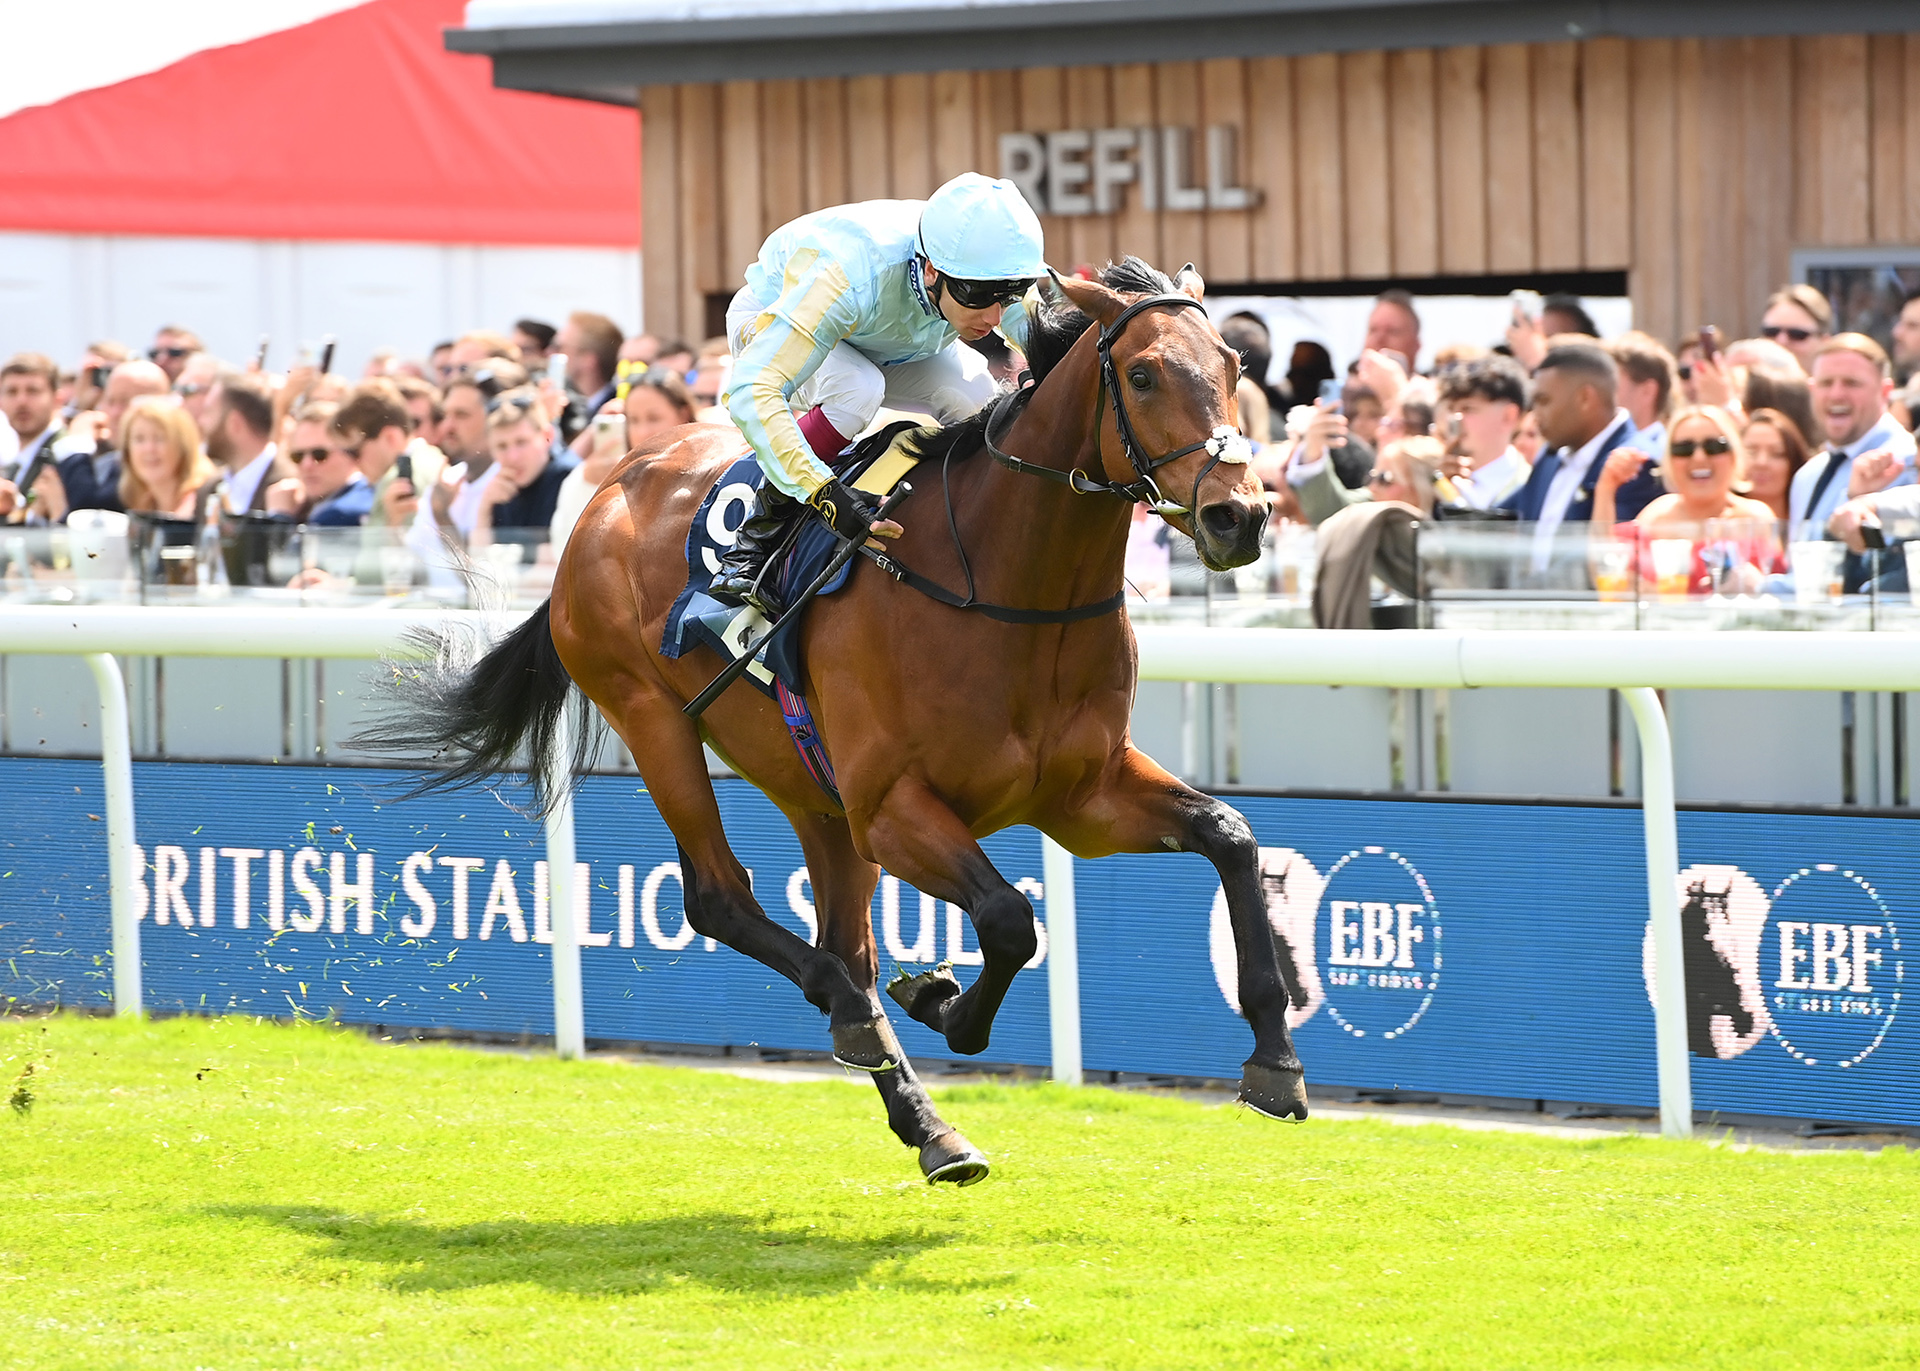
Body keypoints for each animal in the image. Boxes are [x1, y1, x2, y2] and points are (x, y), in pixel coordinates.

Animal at [364, 258, 1308, 1186]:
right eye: (1143, 374)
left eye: (1234, 366)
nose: (1240, 514)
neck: (1009, 586)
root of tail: (609, 489)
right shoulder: (893, 808)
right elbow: (1009, 918)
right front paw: (941, 1001)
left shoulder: (1082, 799)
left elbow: (1229, 834)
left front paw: (1275, 1058)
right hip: (654, 719)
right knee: (724, 901)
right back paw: (855, 1016)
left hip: (813, 791)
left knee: (844, 942)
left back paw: (926, 1121)